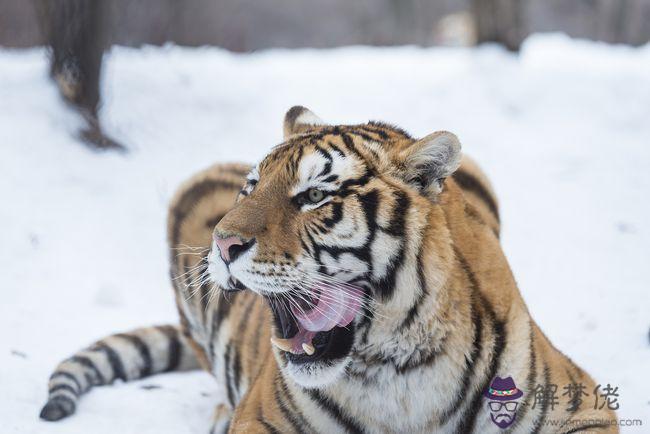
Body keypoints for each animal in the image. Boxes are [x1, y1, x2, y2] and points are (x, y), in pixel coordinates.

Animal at [38, 106, 616, 434]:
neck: (400, 371)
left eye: (315, 196)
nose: (221, 245)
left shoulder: (581, 404)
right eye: (251, 188)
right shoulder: (262, 419)